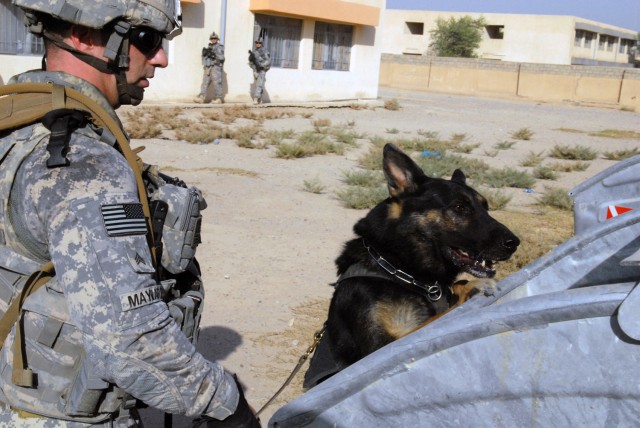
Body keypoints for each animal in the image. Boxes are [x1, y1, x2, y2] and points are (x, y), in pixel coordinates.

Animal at [304, 143, 520, 388]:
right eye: (460, 207)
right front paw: (472, 288)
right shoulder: (379, 352)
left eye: (486, 207)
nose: (514, 243)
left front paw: (463, 287)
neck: (399, 269)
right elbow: (434, 320)